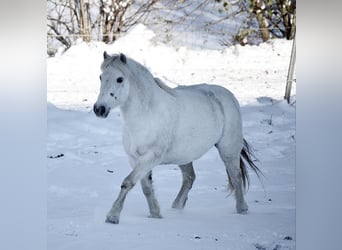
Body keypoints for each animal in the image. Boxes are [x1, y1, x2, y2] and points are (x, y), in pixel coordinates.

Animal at [92, 51, 260, 224]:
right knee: (189, 178)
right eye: (101, 77)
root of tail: (229, 96)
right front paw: (155, 214)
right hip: (185, 156)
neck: (147, 113)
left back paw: (241, 209)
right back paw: (176, 207)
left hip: (228, 151)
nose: (99, 109)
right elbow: (146, 188)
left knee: (236, 177)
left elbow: (128, 182)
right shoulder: (135, 158)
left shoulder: (150, 157)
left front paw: (113, 216)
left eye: (120, 79)